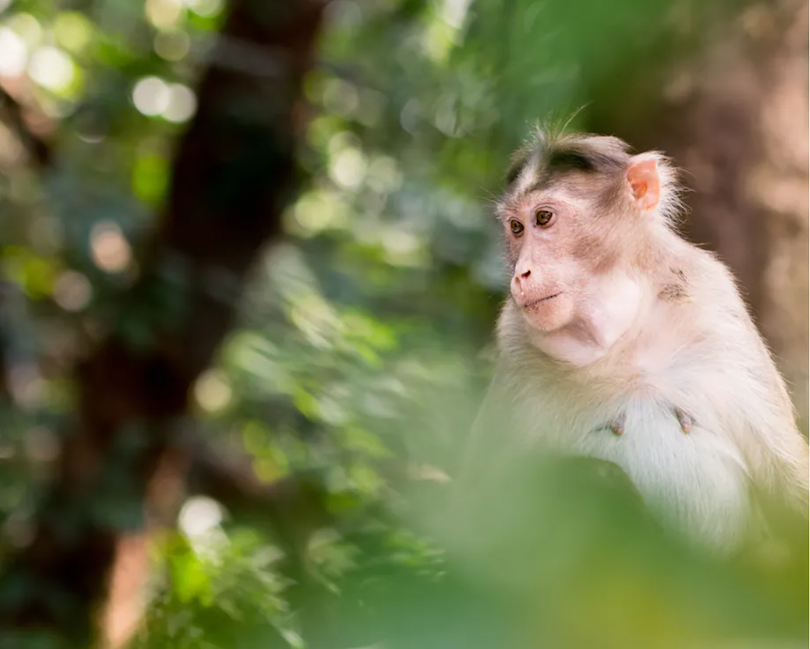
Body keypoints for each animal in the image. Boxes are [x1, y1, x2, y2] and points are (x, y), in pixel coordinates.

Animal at [461, 126, 809, 554]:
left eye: (543, 218)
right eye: (516, 228)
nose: (521, 273)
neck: (623, 335)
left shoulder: (716, 307)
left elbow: (789, 487)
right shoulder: (514, 340)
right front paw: (597, 482)